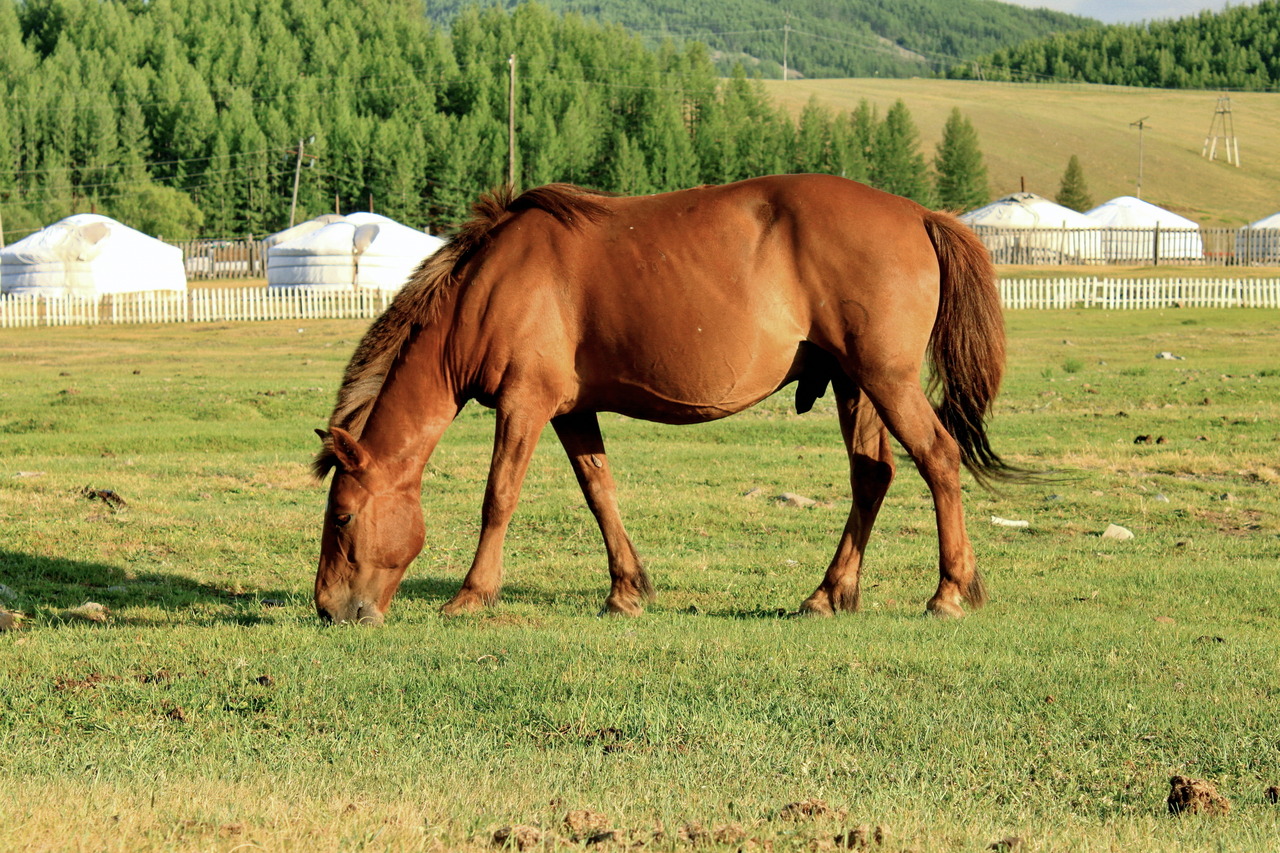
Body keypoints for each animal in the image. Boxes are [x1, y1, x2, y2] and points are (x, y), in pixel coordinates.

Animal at [312, 174, 1014, 626]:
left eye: (341, 518)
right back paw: (828, 593)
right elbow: (600, 492)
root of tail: (919, 214)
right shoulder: (571, 412)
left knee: (939, 458)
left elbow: (498, 498)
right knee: (872, 476)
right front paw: (626, 590)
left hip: (886, 381)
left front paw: (472, 595)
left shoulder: (524, 406)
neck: (489, 286)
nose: (327, 609)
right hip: (854, 385)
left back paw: (949, 593)